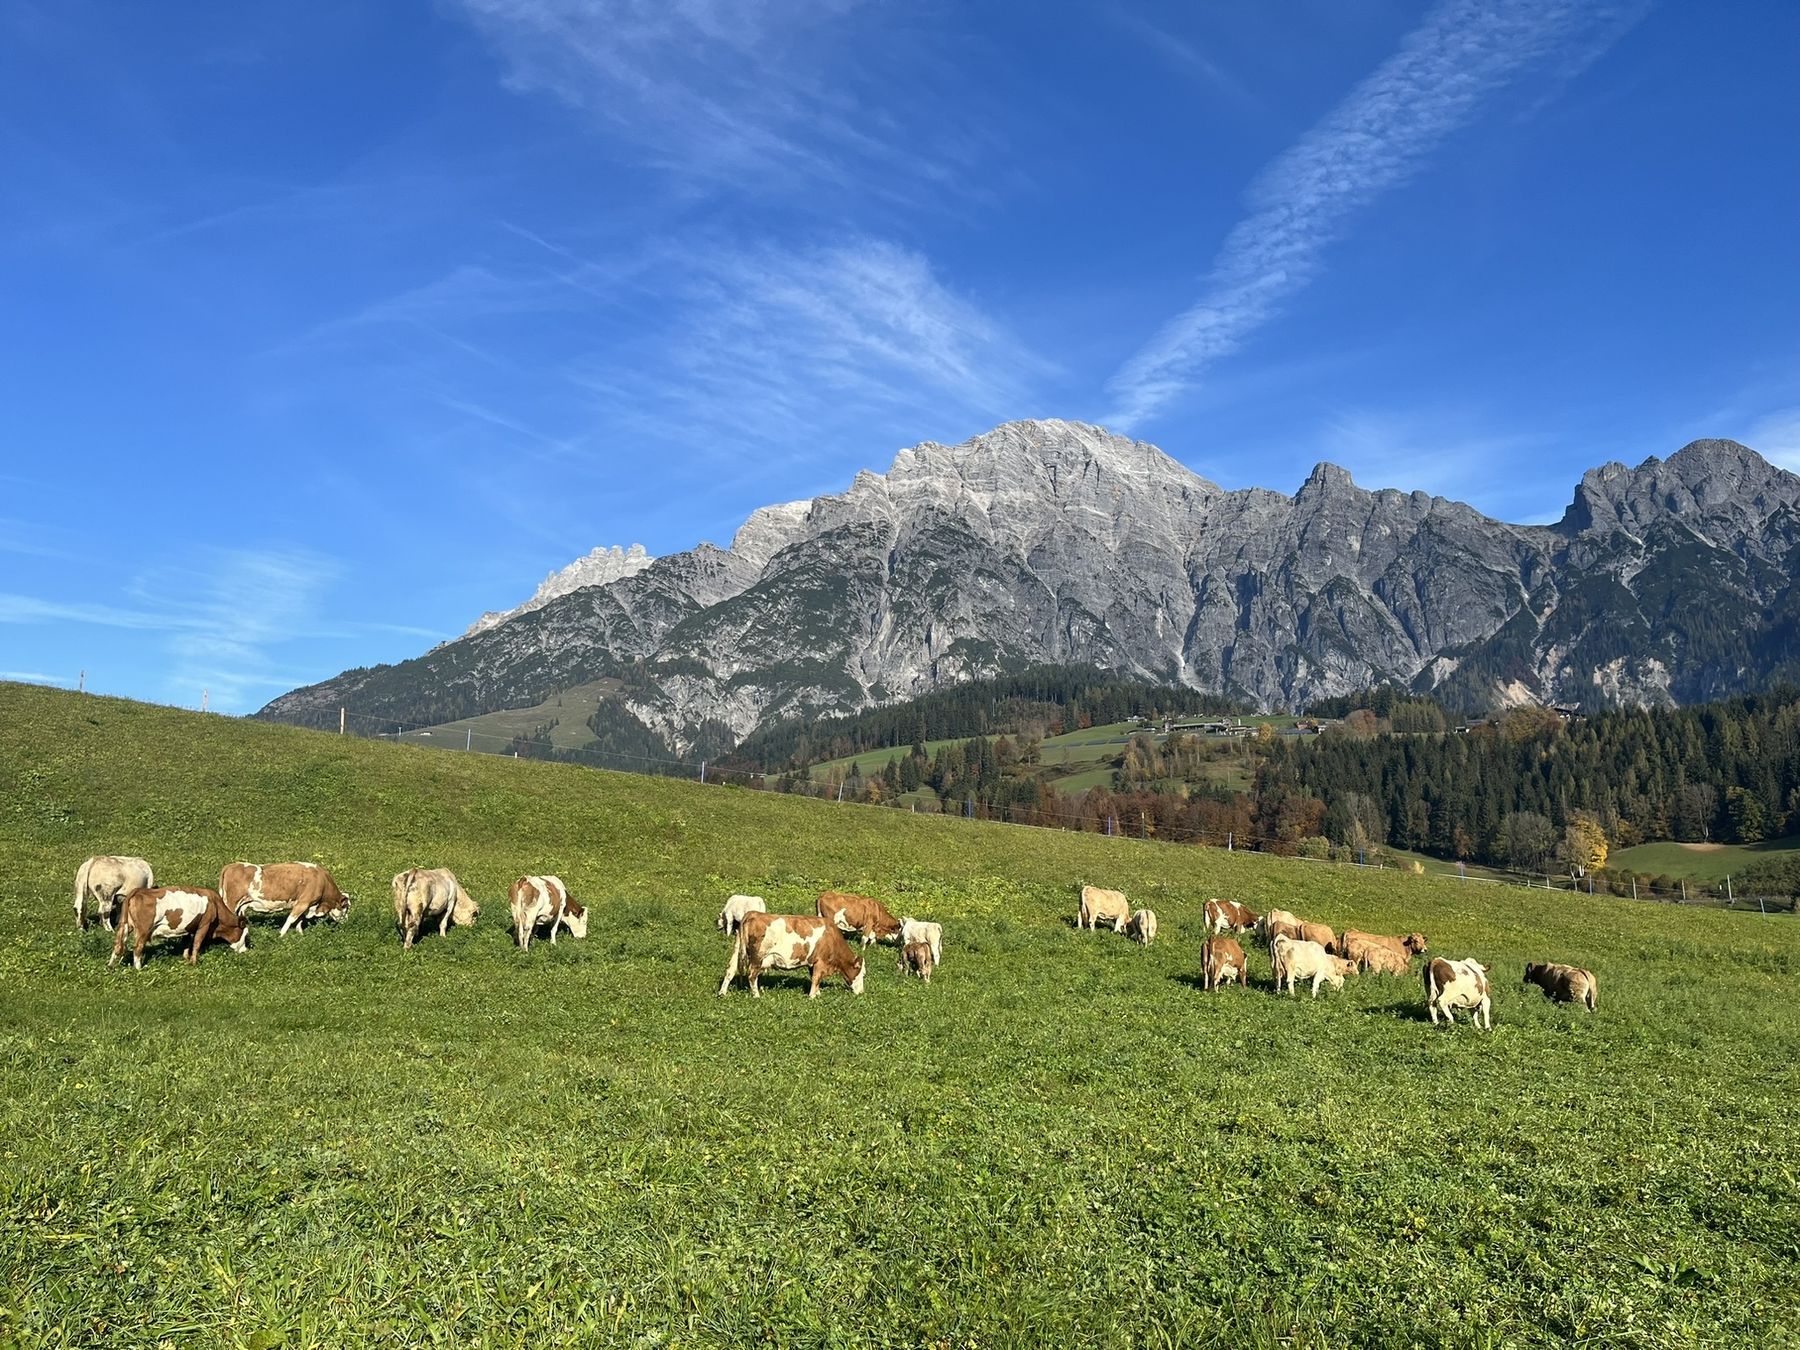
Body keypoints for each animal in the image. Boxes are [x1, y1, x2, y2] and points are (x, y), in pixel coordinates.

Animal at [109, 889, 250, 972]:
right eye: (244, 935)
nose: (245, 951)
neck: (215, 904)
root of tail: (138, 891)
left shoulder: (188, 927)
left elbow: (187, 943)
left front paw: (186, 958)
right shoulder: (204, 925)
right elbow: (197, 943)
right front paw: (194, 962)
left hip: (125, 926)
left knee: (117, 945)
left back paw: (111, 966)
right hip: (143, 930)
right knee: (138, 947)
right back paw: (139, 969)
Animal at [219, 867, 352, 943]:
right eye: (345, 908)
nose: (346, 921)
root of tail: (231, 866)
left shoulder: (304, 904)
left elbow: (300, 919)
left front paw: (300, 934)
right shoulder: (304, 902)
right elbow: (291, 919)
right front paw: (281, 935)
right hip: (231, 903)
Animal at [716, 914, 864, 1000]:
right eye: (862, 974)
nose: (861, 992)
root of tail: (752, 914)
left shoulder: (812, 962)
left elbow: (815, 978)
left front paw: (817, 993)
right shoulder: (821, 962)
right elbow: (816, 978)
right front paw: (812, 997)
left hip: (737, 950)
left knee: (730, 970)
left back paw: (722, 993)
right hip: (758, 956)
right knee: (752, 975)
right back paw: (756, 995)